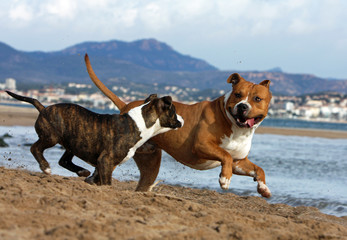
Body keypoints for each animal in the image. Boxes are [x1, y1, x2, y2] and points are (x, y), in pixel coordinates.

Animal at [85, 54, 274, 199]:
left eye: (257, 99)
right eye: (237, 95)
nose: (242, 106)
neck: (237, 129)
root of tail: (127, 106)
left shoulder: (239, 162)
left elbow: (258, 169)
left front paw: (263, 188)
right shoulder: (201, 145)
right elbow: (225, 155)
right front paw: (224, 179)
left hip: (149, 160)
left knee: (143, 183)